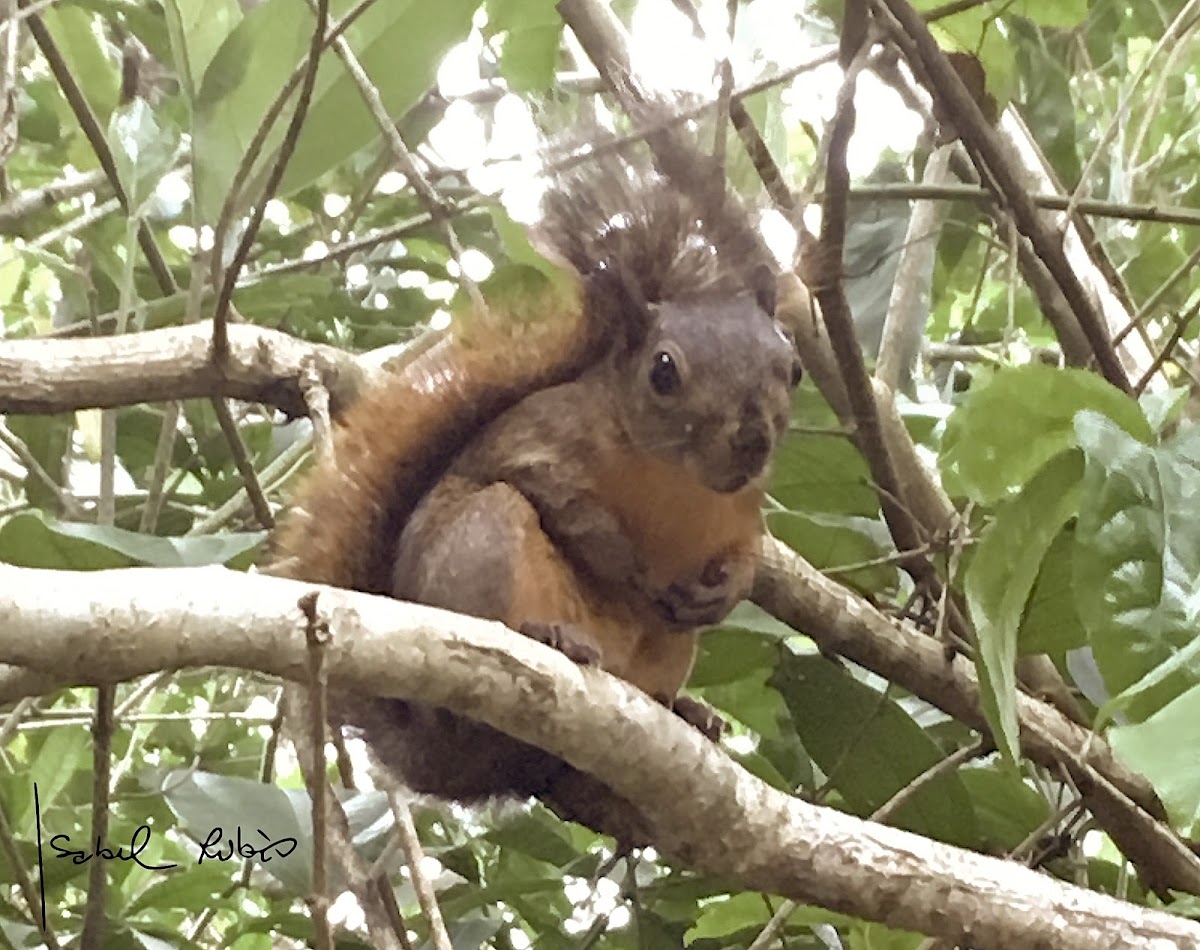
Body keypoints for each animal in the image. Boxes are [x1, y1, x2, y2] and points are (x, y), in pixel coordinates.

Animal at [267, 157, 801, 801]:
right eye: (663, 371)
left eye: (795, 368)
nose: (752, 439)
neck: (677, 478)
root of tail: (437, 758)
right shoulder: (538, 437)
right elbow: (558, 499)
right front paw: (626, 568)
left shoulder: (745, 510)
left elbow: (748, 553)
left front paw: (724, 592)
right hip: (481, 544)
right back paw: (550, 637)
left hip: (669, 647)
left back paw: (685, 711)